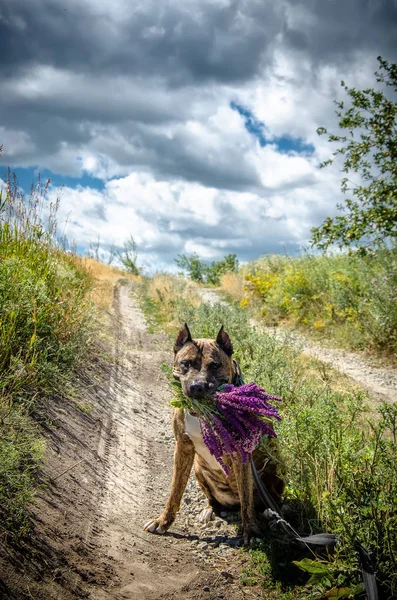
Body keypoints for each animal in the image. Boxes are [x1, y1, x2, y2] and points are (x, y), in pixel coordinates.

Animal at [144, 324, 284, 544]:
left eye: (215, 365)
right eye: (185, 363)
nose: (197, 386)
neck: (203, 414)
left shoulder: (240, 455)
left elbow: (247, 499)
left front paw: (251, 532)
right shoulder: (183, 447)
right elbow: (175, 491)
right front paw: (163, 522)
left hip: (274, 472)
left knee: (265, 501)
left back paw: (270, 514)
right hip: (198, 469)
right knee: (215, 500)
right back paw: (210, 510)